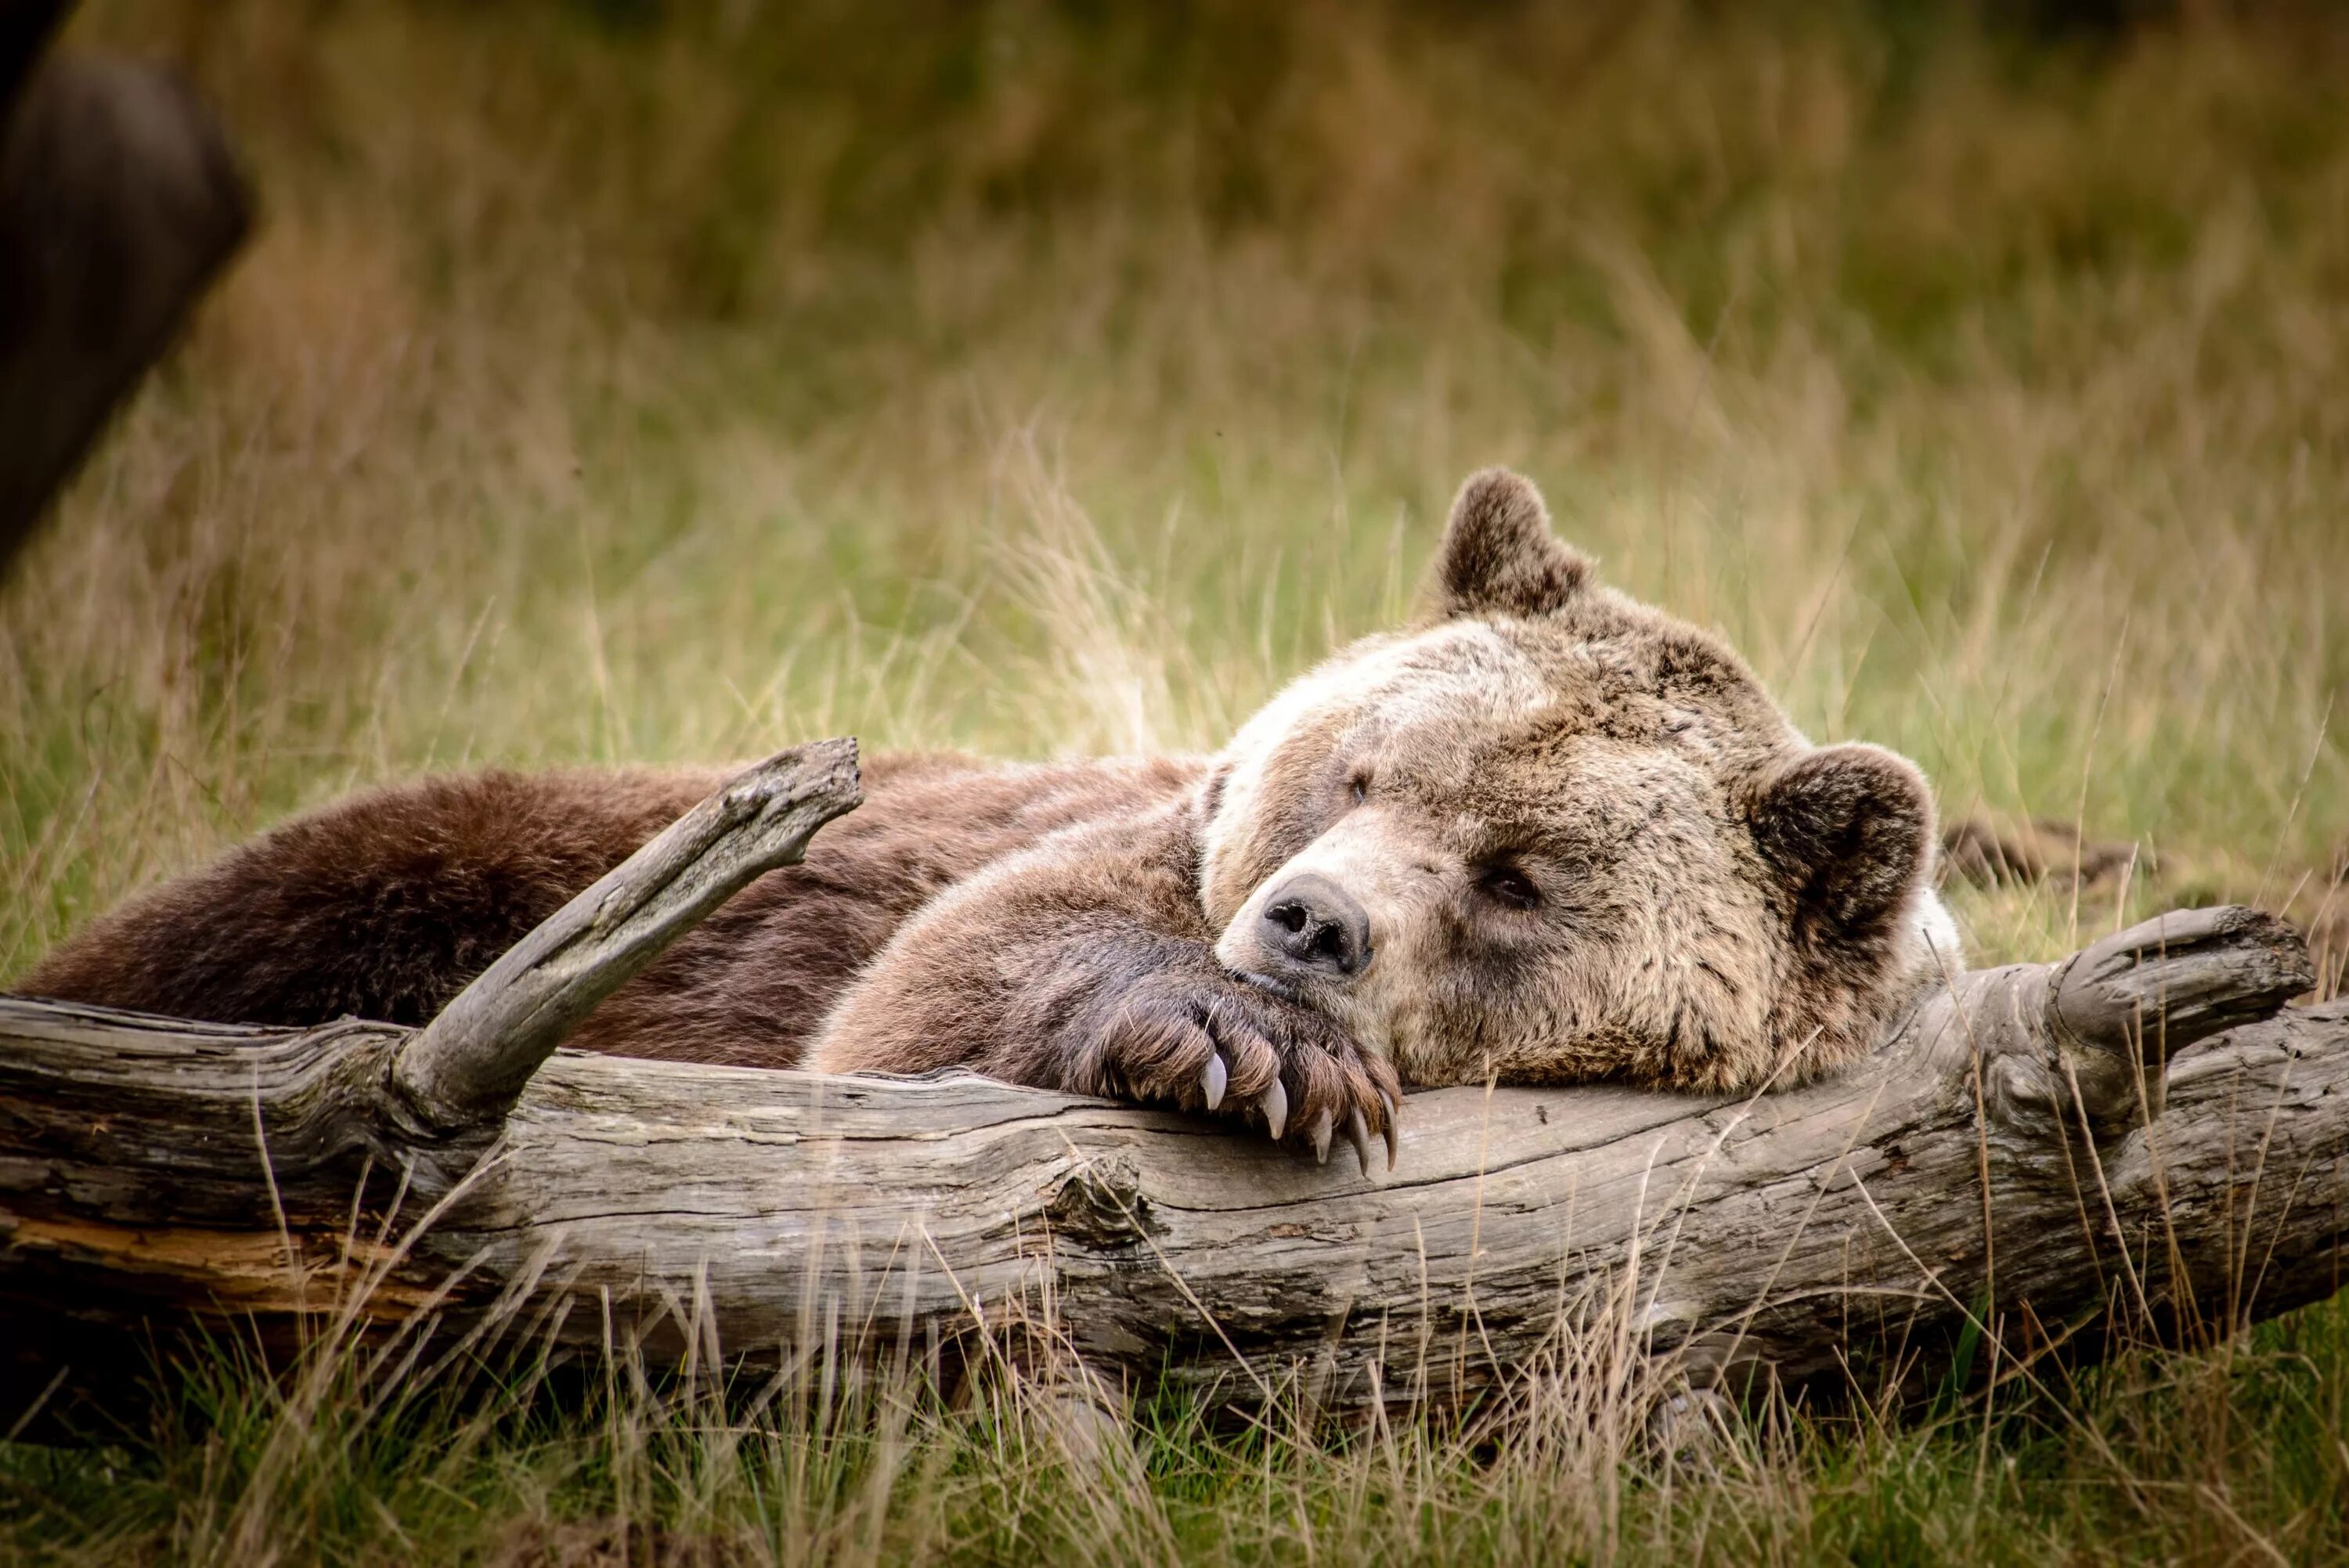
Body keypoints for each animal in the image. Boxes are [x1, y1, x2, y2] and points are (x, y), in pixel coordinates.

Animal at [23, 471, 1964, 1169]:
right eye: (1361, 769)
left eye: (1522, 876)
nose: (1307, 923)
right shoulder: (1072, 850)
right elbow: (933, 989)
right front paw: (1244, 1045)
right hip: (465, 857)